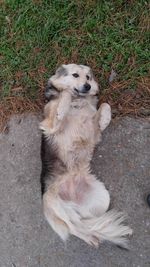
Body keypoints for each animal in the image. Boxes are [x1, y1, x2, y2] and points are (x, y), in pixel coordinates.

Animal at [39, 63, 132, 248]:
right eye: (75, 75)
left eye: (88, 77)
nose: (87, 86)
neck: (78, 100)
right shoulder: (49, 126)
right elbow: (64, 98)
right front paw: (64, 100)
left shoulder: (95, 133)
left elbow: (105, 105)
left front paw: (105, 119)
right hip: (55, 204)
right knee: (72, 226)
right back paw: (90, 237)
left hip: (102, 199)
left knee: (82, 221)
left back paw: (94, 233)